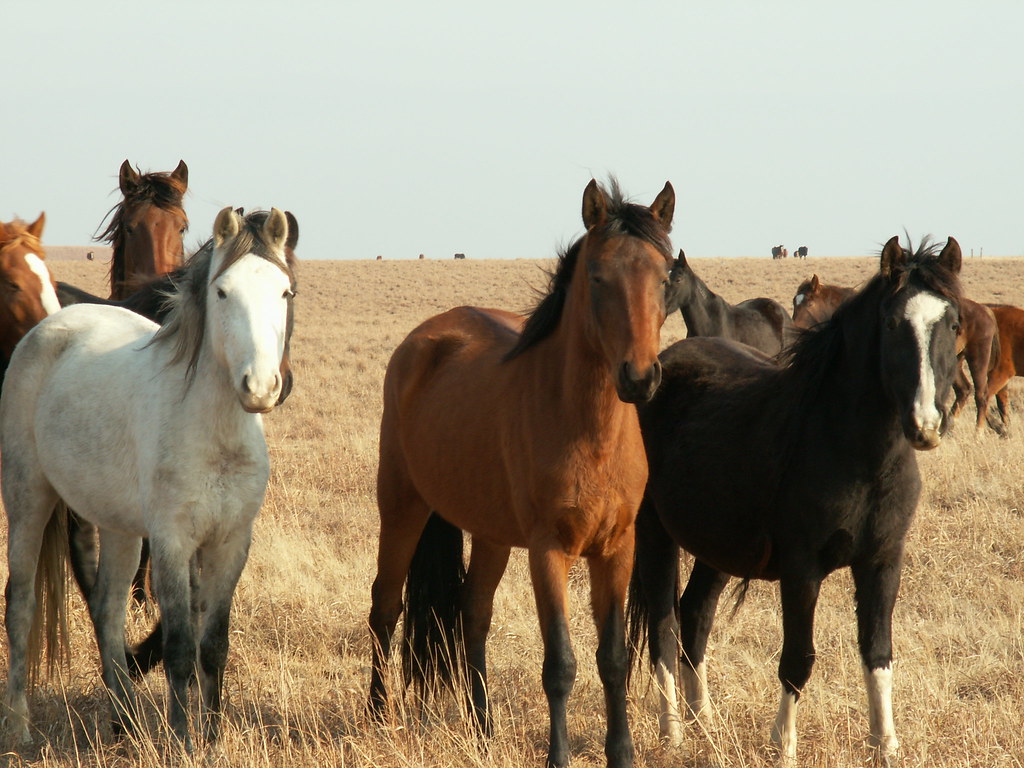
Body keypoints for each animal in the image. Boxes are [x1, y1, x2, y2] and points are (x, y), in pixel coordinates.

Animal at [626, 237, 962, 765]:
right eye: (891, 324)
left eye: (953, 323)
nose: (926, 424)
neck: (853, 450)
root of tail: (661, 367)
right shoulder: (802, 568)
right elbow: (798, 658)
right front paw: (782, 745)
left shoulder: (883, 561)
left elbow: (878, 652)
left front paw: (885, 744)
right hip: (655, 533)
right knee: (663, 626)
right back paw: (673, 731)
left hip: (718, 547)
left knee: (695, 615)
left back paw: (705, 722)